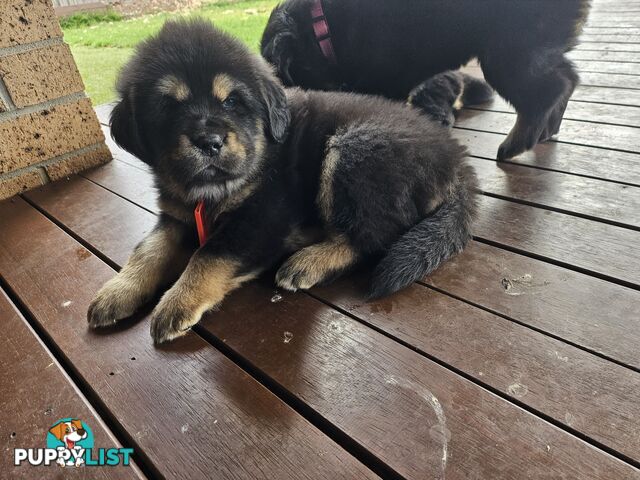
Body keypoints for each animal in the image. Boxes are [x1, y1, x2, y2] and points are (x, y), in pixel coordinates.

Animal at [85, 17, 476, 342]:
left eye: (231, 102)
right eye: (168, 107)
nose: (209, 142)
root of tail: (456, 158)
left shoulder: (264, 216)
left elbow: (208, 254)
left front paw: (176, 303)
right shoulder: (176, 216)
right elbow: (147, 249)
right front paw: (118, 290)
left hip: (353, 148)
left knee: (372, 237)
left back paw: (308, 262)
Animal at [260, 0, 592, 161]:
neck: (322, 29)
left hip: (509, 52)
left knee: (549, 91)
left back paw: (516, 143)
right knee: (567, 79)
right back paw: (547, 131)